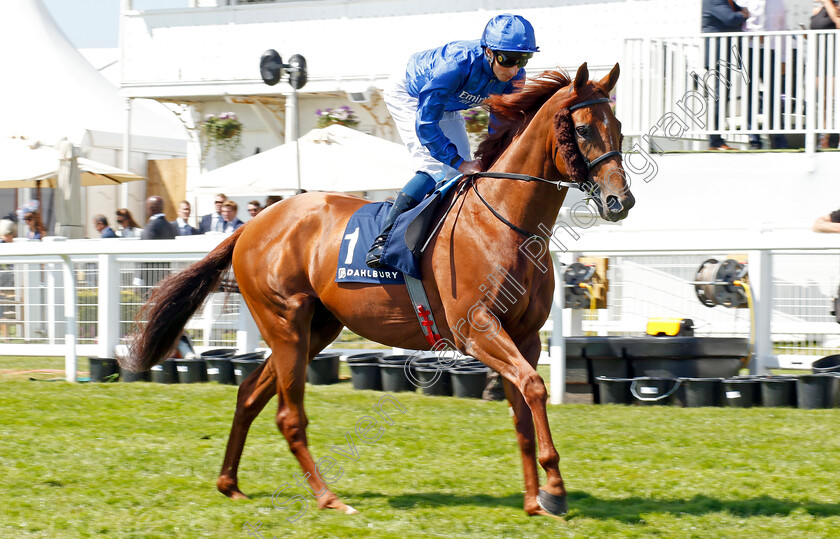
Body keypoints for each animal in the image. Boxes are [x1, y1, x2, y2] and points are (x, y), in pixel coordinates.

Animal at [124, 63, 632, 520]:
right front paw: (555, 490)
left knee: (249, 393)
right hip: (285, 324)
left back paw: (229, 483)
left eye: (619, 128)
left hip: (316, 330)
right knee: (289, 415)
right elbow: (534, 386)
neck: (505, 223)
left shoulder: (522, 336)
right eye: (583, 129)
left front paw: (534, 500)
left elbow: (524, 409)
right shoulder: (477, 331)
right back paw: (328, 498)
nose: (620, 201)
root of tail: (251, 224)